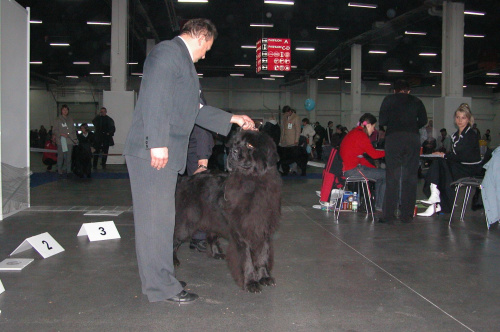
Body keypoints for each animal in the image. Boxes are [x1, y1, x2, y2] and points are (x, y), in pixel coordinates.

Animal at [174, 130, 282, 294]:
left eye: (250, 145)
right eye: (236, 144)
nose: (233, 151)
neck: (252, 182)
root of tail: (185, 179)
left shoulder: (262, 228)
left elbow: (262, 255)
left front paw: (264, 277)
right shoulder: (242, 231)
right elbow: (247, 259)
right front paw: (251, 283)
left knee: (211, 235)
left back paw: (216, 253)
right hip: (187, 222)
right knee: (174, 238)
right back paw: (173, 260)